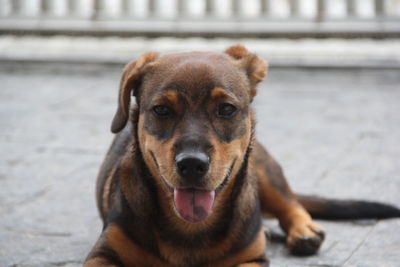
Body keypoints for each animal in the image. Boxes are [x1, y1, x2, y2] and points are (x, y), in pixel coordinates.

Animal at [84, 46, 400, 267]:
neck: (189, 228)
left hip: (265, 171)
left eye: (226, 109)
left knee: (291, 203)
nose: (192, 164)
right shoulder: (103, 253)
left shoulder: (252, 259)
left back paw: (303, 231)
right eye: (161, 110)